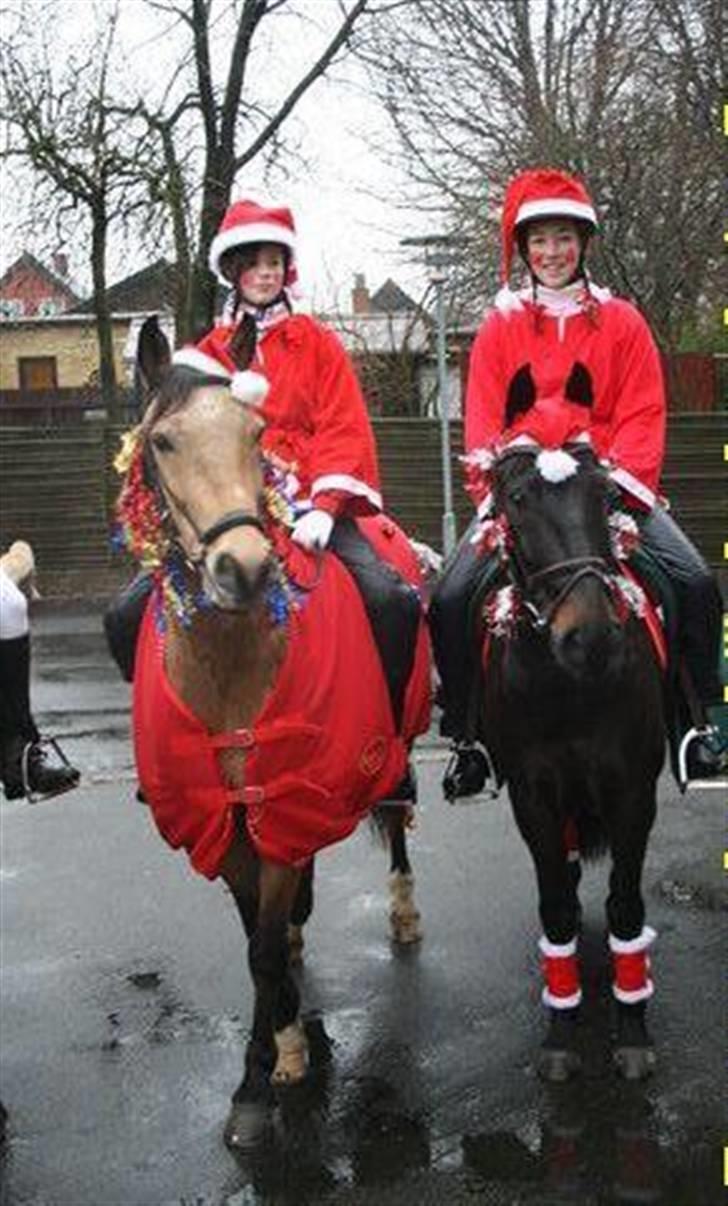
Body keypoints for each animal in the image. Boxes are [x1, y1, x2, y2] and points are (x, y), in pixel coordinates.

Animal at [115, 315, 431, 1143]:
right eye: (162, 441)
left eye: (256, 433)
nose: (247, 567)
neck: (231, 670)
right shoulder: (228, 818)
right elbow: (256, 935)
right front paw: (285, 1040)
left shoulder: (285, 803)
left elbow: (259, 947)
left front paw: (257, 1085)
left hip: (387, 761)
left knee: (396, 818)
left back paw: (401, 909)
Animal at [472, 422, 665, 1075]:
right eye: (516, 500)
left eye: (606, 496)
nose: (591, 638)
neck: (571, 687)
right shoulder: (533, 797)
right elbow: (554, 904)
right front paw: (560, 1032)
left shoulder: (633, 791)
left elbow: (627, 904)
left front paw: (632, 1031)